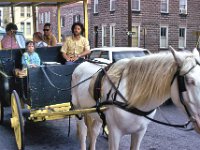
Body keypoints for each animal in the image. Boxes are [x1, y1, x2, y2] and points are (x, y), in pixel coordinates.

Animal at [71, 48, 200, 150]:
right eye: (189, 81)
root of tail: (81, 64)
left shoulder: (139, 133)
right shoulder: (114, 133)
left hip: (96, 114)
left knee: (93, 133)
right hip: (78, 110)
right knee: (83, 134)